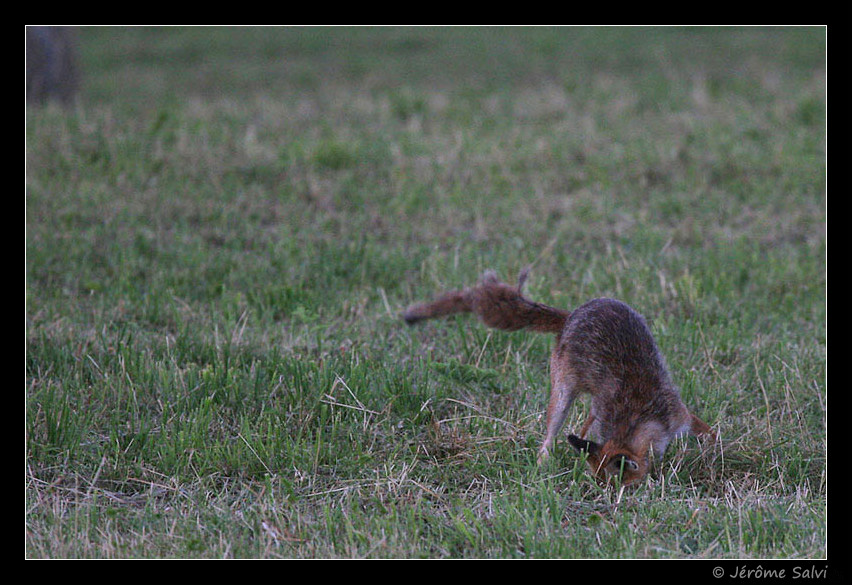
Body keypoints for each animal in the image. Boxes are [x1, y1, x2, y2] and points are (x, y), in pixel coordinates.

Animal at [403, 269, 715, 485]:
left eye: (617, 486)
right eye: (603, 485)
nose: (606, 502)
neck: (639, 416)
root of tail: (572, 315)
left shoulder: (679, 415)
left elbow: (709, 433)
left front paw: (718, 449)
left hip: (586, 399)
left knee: (582, 425)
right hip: (563, 394)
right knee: (550, 436)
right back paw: (542, 464)